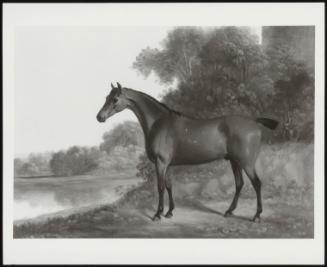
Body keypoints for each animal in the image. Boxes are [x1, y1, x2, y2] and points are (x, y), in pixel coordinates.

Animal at [96, 82, 280, 223]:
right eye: (106, 98)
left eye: (115, 99)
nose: (100, 117)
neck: (159, 123)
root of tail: (254, 121)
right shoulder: (168, 164)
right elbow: (169, 186)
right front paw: (169, 212)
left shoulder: (161, 163)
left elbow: (160, 187)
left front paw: (157, 214)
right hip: (234, 161)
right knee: (239, 184)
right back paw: (229, 211)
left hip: (246, 162)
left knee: (257, 184)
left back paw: (256, 216)